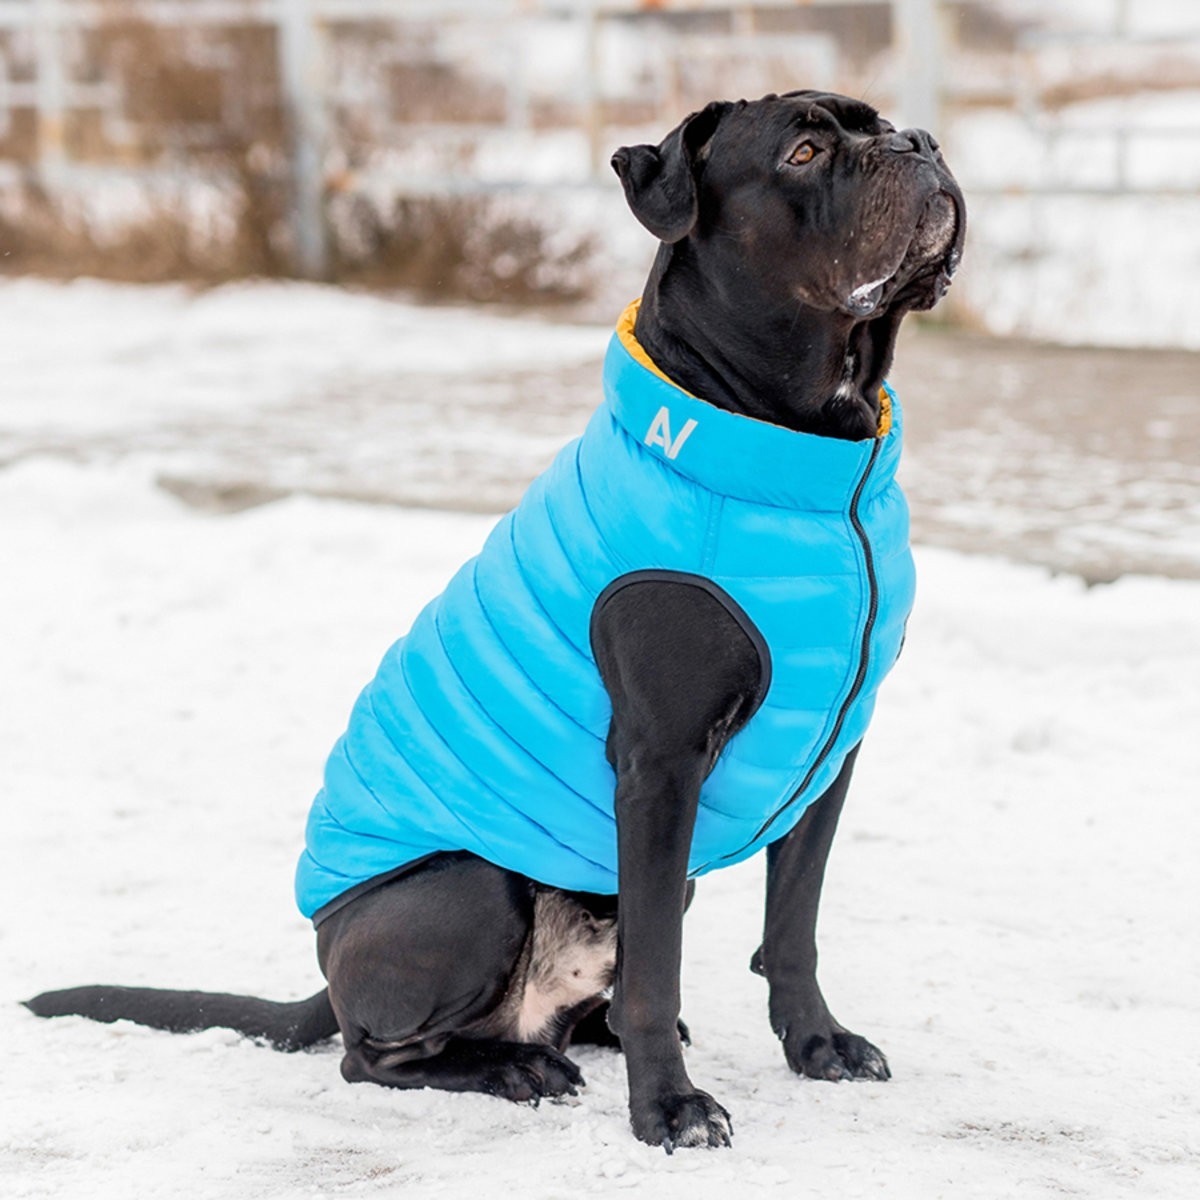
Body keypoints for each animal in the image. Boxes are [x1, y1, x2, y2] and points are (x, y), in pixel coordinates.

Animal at [25, 88, 964, 1147]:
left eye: (884, 127)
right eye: (804, 151)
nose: (920, 142)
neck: (813, 470)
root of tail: (326, 966)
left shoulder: (828, 757)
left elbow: (791, 927)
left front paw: (817, 1045)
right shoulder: (660, 764)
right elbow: (664, 965)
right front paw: (669, 1108)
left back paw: (575, 1039)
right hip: (472, 886)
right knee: (372, 1055)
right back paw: (517, 1068)